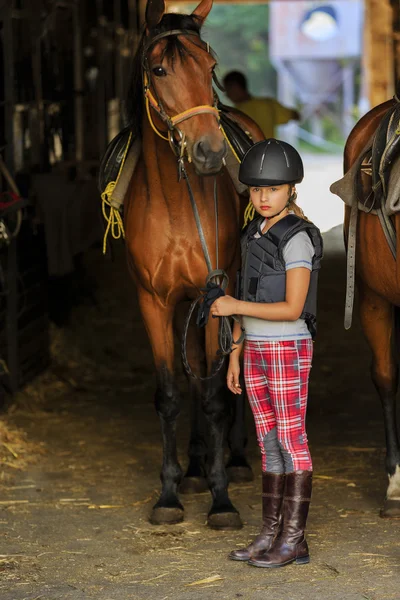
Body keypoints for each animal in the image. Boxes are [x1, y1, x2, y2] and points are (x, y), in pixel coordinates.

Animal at [123, 0, 264, 528]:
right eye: (160, 69)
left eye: (210, 67)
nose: (209, 152)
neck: (175, 202)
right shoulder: (155, 302)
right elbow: (170, 395)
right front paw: (169, 494)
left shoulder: (217, 293)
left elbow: (216, 395)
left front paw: (222, 500)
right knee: (196, 370)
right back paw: (197, 467)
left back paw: (233, 461)